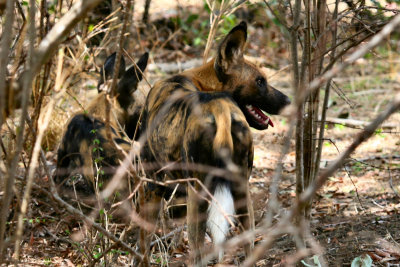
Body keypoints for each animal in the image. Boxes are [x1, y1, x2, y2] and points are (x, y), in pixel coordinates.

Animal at [139, 21, 290, 266]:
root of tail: (220, 108)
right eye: (260, 81)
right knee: (248, 245)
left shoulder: (153, 185)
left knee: (197, 254)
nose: (288, 100)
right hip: (241, 192)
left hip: (197, 199)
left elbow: (143, 245)